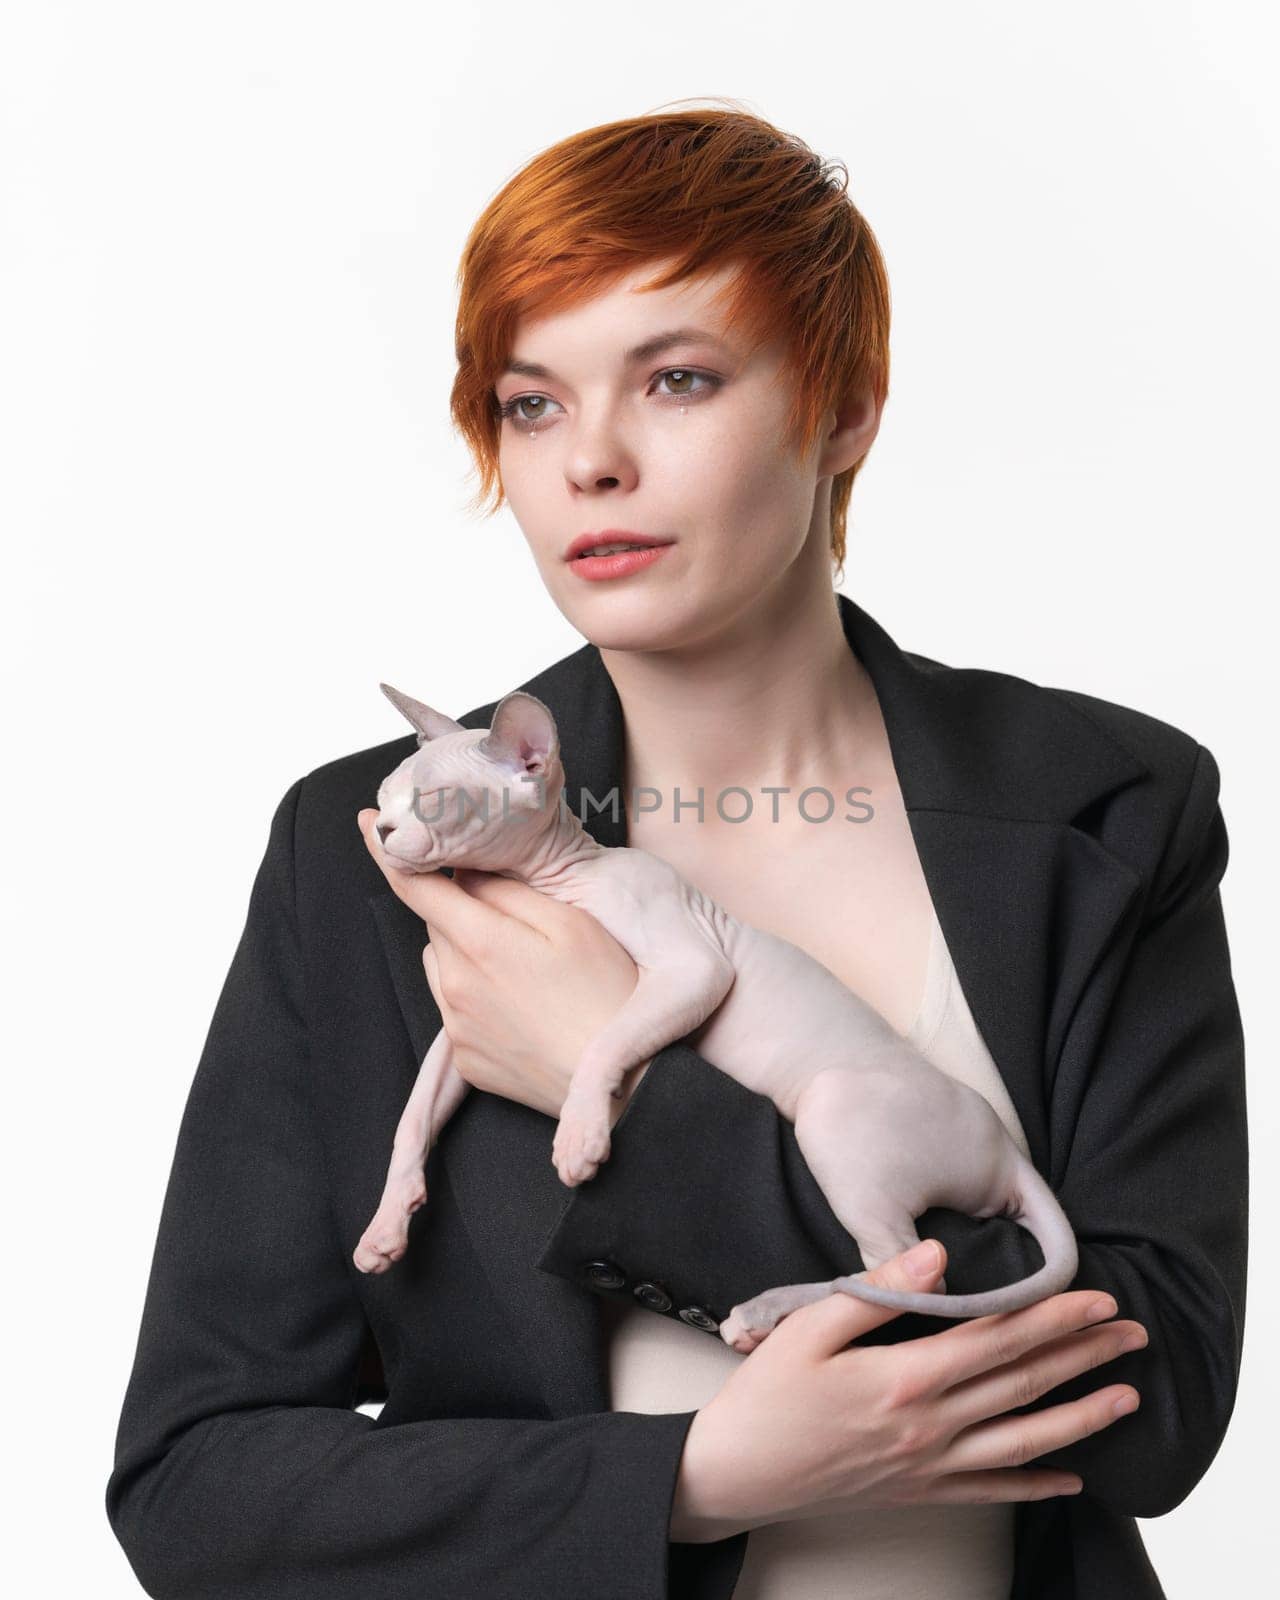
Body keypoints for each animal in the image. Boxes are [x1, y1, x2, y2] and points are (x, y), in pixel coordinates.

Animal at [352, 688, 1081, 1350]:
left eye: (433, 800)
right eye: (385, 794)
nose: (381, 830)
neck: (556, 877)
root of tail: (1006, 1155)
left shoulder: (691, 966)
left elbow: (605, 1038)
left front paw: (580, 1135)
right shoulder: (464, 1026)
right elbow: (414, 1113)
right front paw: (387, 1223)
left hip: (837, 1113)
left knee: (905, 1270)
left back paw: (766, 1310)